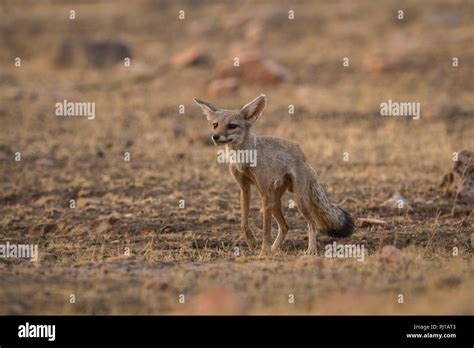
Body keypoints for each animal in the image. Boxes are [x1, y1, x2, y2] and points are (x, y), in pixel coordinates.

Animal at [194, 94, 354, 254]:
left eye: (232, 125)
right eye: (215, 125)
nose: (215, 137)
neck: (243, 159)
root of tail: (304, 157)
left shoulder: (264, 192)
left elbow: (266, 229)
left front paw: (263, 251)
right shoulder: (244, 188)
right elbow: (244, 223)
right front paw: (252, 243)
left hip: (298, 200)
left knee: (312, 224)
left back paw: (310, 250)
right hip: (275, 201)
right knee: (285, 227)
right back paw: (274, 249)